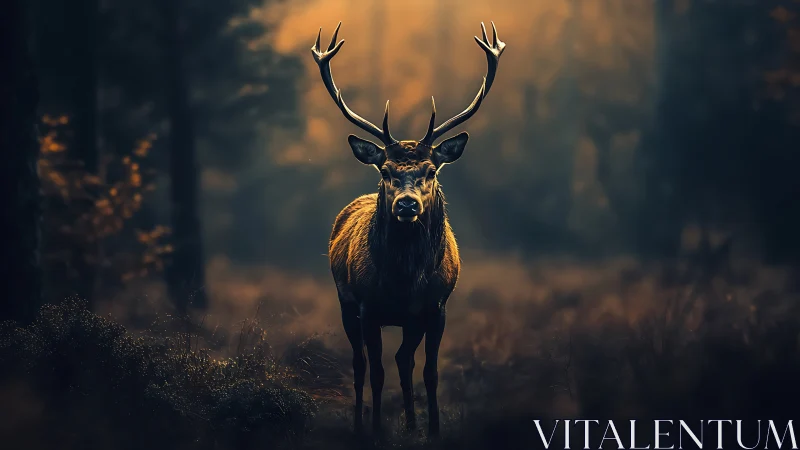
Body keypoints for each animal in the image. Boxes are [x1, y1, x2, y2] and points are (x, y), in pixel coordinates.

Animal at [312, 21, 505, 436]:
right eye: (386, 170)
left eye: (431, 171)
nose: (406, 204)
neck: (403, 280)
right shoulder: (368, 306)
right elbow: (375, 372)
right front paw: (375, 430)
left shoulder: (436, 307)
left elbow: (429, 372)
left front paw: (432, 430)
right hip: (344, 302)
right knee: (360, 365)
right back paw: (359, 425)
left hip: (410, 321)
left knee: (404, 360)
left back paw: (413, 424)